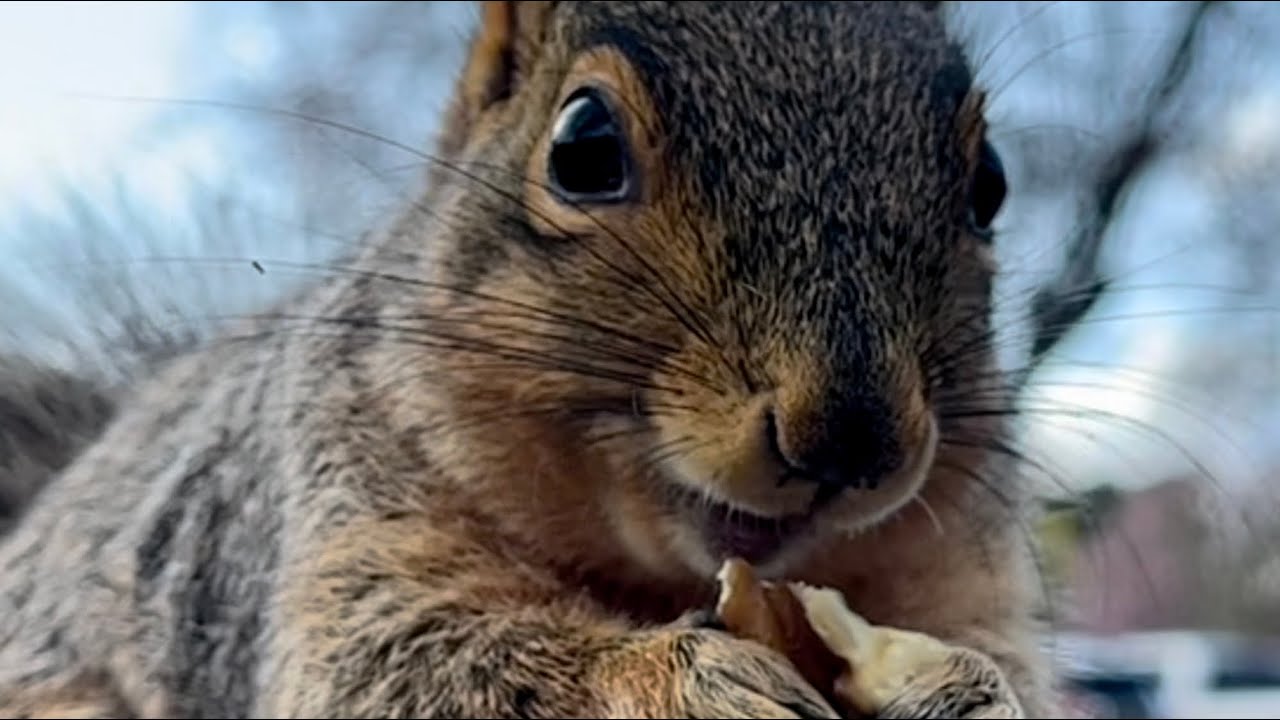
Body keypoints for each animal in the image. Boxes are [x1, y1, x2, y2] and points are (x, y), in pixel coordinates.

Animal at [0, 1, 1060, 717]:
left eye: (992, 185)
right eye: (583, 145)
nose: (849, 441)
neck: (662, 580)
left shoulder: (958, 571)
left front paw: (967, 689)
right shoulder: (343, 511)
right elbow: (395, 667)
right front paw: (682, 680)